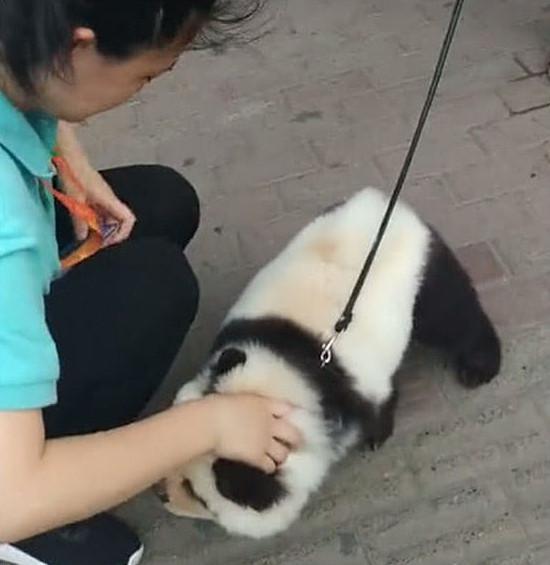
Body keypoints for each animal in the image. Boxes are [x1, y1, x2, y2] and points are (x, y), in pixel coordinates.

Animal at [158, 186, 500, 536]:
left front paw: (376, 436)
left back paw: (479, 367)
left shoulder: (357, 385)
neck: (280, 384)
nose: (161, 496)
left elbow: (380, 403)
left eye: (194, 493)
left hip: (423, 276)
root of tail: (384, 204)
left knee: (452, 316)